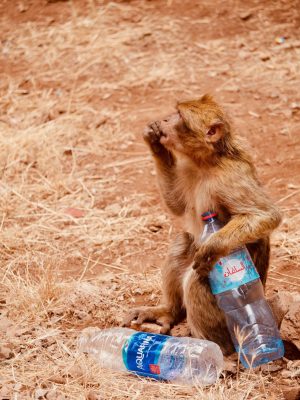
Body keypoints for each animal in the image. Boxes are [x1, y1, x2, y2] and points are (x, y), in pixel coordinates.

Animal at [122, 94, 282, 356]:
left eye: (179, 116)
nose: (164, 120)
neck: (207, 162)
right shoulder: (189, 168)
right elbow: (176, 204)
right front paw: (155, 144)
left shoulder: (230, 177)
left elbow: (266, 215)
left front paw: (213, 246)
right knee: (183, 240)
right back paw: (169, 313)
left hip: (225, 320)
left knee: (197, 278)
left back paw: (207, 347)